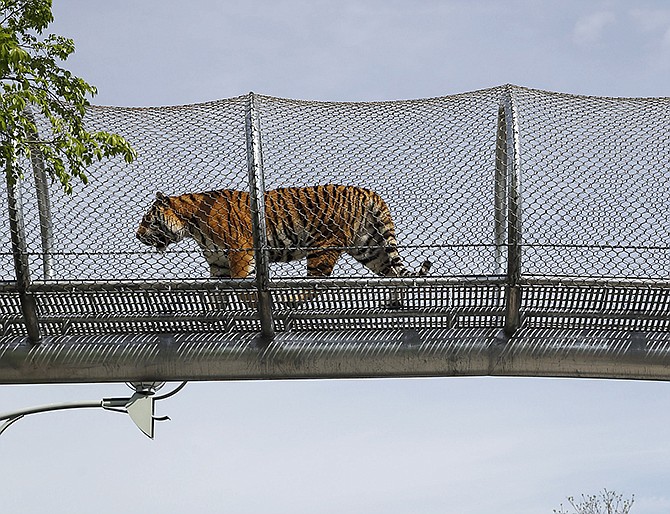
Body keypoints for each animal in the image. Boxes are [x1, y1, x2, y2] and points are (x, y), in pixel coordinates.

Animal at [137, 183, 434, 304]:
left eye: (148, 220)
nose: (137, 235)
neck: (191, 226)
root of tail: (368, 193)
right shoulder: (218, 263)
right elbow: (218, 291)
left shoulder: (240, 252)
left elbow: (240, 283)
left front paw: (248, 301)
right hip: (369, 248)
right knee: (394, 273)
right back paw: (395, 301)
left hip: (323, 247)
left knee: (315, 285)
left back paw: (289, 300)